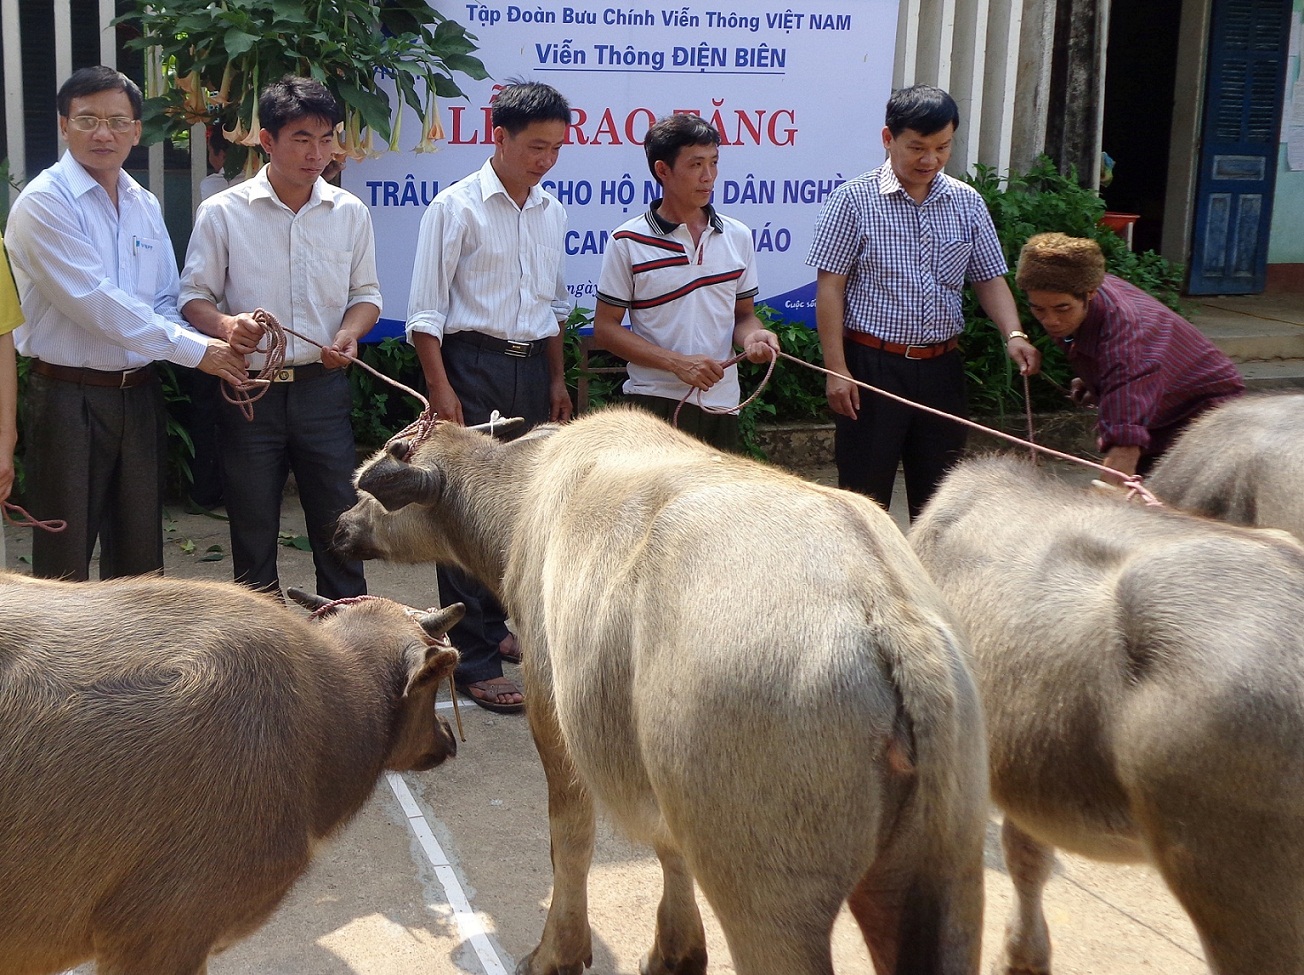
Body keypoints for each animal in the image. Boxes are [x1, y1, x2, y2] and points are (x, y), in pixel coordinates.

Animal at [336, 406, 985, 975]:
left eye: (375, 486)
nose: (340, 526)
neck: (521, 499)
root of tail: (885, 611)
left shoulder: (551, 707)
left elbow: (569, 837)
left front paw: (557, 953)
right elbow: (670, 845)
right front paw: (677, 951)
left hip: (771, 903)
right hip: (948, 882)